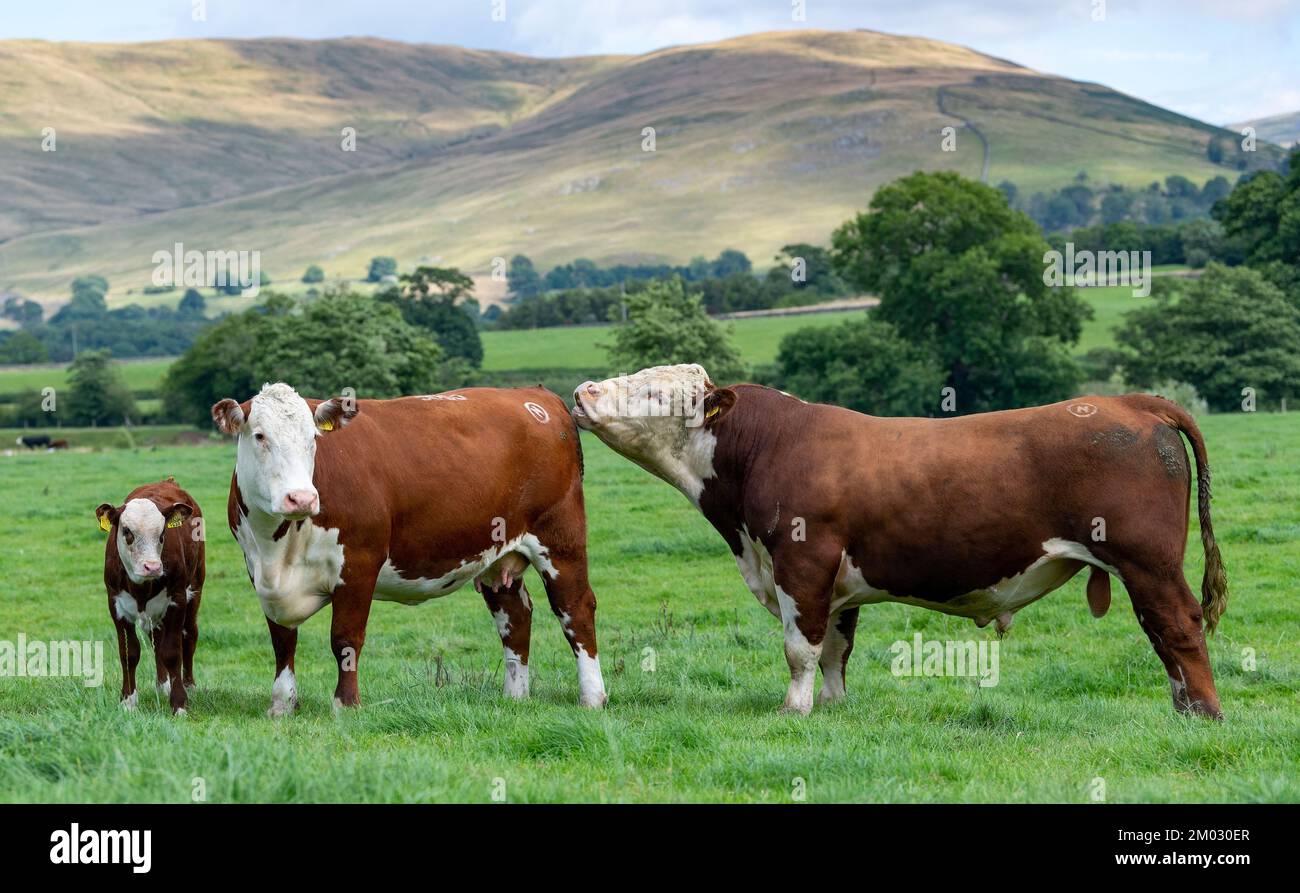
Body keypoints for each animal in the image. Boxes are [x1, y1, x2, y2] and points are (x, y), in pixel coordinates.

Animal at [95, 478, 205, 714]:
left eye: (162, 534)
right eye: (127, 531)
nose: (152, 567)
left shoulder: (176, 598)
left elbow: (172, 651)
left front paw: (179, 703)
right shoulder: (116, 604)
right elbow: (129, 652)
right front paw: (127, 701)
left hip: (195, 586)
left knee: (189, 635)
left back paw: (188, 685)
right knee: (155, 637)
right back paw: (162, 685)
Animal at [211, 382, 606, 716]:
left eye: (313, 438)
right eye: (259, 436)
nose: (301, 498)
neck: (279, 547)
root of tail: (535, 395)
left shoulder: (359, 565)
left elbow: (345, 640)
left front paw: (346, 705)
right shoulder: (261, 573)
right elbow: (282, 642)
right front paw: (281, 705)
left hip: (560, 539)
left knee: (575, 609)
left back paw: (592, 696)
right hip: (497, 556)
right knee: (515, 616)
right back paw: (514, 696)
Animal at [572, 364, 1228, 718]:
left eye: (656, 394)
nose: (582, 392)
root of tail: (1132, 402)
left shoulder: (801, 561)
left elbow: (800, 647)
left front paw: (793, 709)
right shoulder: (835, 581)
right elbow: (835, 648)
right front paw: (832, 706)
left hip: (1149, 561)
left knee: (1178, 626)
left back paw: (1203, 712)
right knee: (1160, 632)